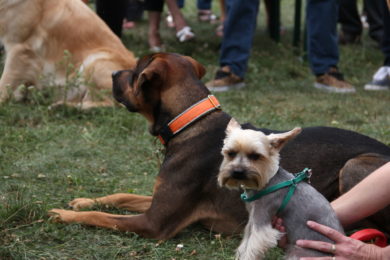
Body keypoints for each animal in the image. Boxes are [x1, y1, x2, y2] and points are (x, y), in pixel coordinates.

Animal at [48, 53, 390, 242]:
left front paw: (64, 214)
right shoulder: (158, 203)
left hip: (355, 166)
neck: (189, 123)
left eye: (135, 72)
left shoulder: (155, 223)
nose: (112, 74)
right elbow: (120, 196)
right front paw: (81, 201)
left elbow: (101, 217)